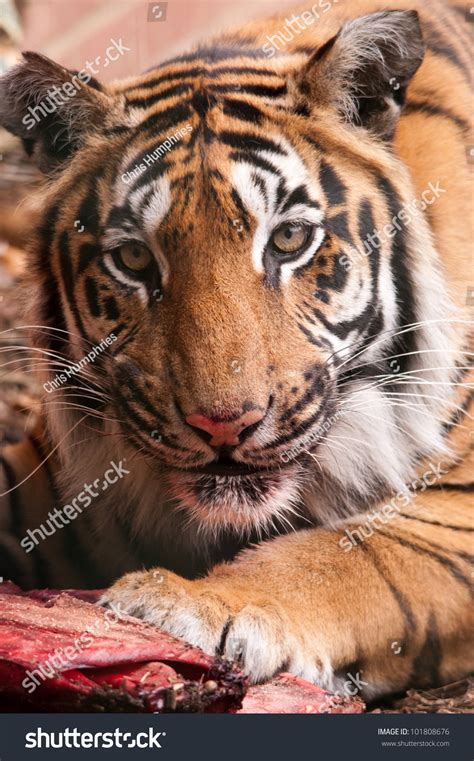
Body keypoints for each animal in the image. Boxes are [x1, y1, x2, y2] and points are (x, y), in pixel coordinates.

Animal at [0, 0, 470, 700]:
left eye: (290, 239)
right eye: (133, 258)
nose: (223, 425)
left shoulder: (455, 508)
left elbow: (338, 556)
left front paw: (186, 604)